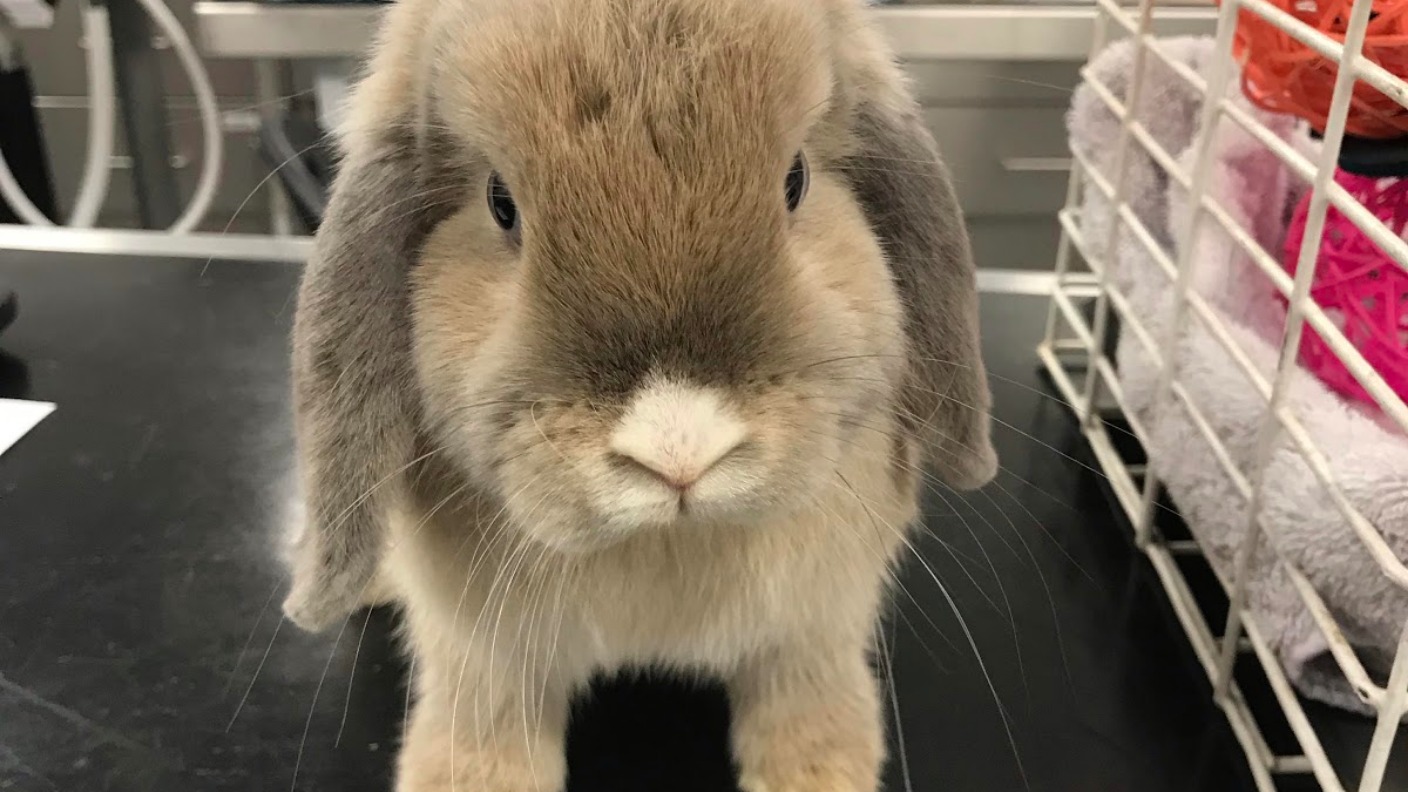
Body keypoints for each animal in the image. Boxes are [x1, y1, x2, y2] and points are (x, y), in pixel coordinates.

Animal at [281, 0, 998, 789]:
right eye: (501, 204)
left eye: (797, 179)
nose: (679, 450)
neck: (667, 546)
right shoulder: (480, 648)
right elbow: (486, 712)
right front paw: (462, 778)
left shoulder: (816, 623)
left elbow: (805, 694)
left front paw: (822, 771)